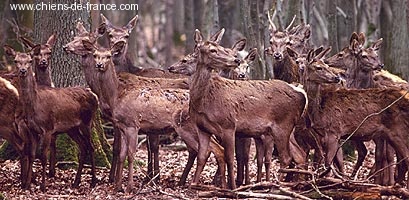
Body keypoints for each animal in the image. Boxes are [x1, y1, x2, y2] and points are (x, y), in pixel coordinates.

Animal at [4, 46, 98, 191]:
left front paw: (43, 185)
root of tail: (95, 96)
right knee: (83, 147)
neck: (35, 106)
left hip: (87, 121)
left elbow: (43, 156)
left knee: (91, 147)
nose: (23, 70)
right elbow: (32, 155)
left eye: (30, 60)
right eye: (15, 60)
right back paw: (76, 182)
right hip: (72, 128)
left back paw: (93, 181)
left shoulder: (47, 128)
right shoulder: (33, 130)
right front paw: (27, 185)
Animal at [188, 30, 306, 189]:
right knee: (298, 155)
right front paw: (193, 185)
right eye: (212, 50)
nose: (236, 60)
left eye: (221, 47)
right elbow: (201, 157)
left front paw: (232, 188)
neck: (202, 101)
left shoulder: (229, 125)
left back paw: (277, 184)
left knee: (286, 157)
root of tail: (301, 93)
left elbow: (230, 158)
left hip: (283, 125)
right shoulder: (202, 128)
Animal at [302, 47, 408, 189]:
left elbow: (329, 162)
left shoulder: (334, 131)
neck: (319, 110)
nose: (336, 77)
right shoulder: (327, 135)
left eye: (326, 66)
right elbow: (334, 162)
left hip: (398, 130)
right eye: (319, 67)